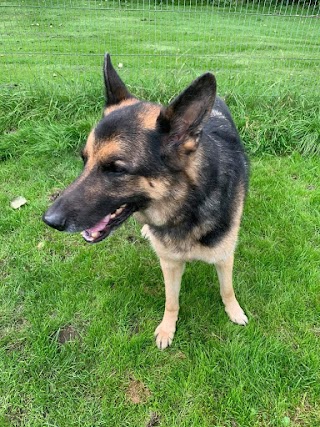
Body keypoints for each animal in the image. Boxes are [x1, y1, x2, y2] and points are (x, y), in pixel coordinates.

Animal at [43, 53, 248, 350]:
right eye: (84, 159)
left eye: (116, 169)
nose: (49, 220)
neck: (186, 207)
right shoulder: (170, 263)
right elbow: (171, 301)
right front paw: (167, 328)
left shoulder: (223, 256)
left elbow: (227, 288)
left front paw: (234, 311)